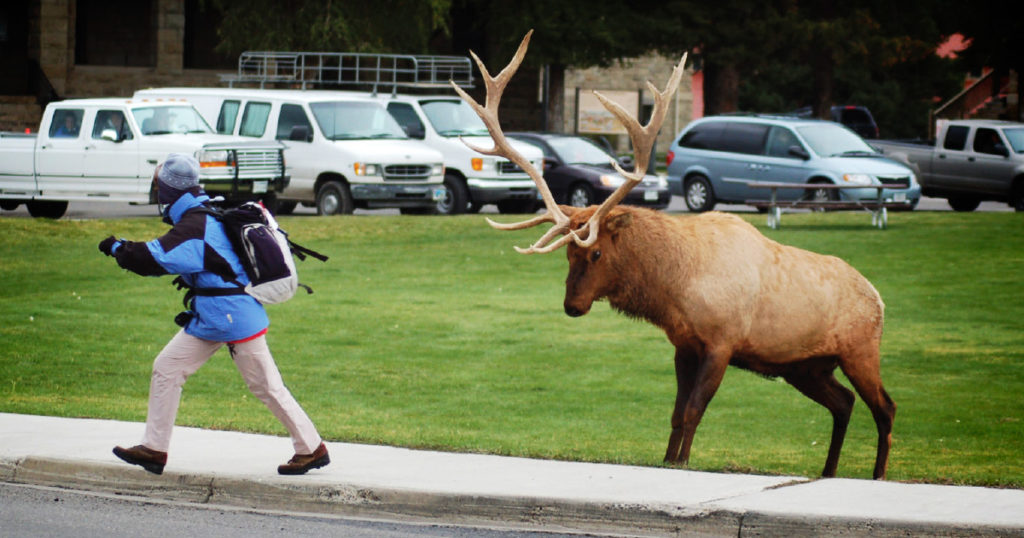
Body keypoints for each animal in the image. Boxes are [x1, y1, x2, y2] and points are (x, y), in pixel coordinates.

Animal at [452, 31, 895, 480]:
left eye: (596, 253)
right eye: (569, 255)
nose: (572, 306)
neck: (677, 289)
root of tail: (879, 298)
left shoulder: (722, 342)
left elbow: (695, 410)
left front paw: (682, 462)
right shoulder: (684, 346)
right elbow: (677, 413)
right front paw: (668, 460)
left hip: (860, 349)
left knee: (885, 407)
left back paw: (877, 474)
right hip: (806, 366)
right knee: (844, 403)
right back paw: (828, 471)